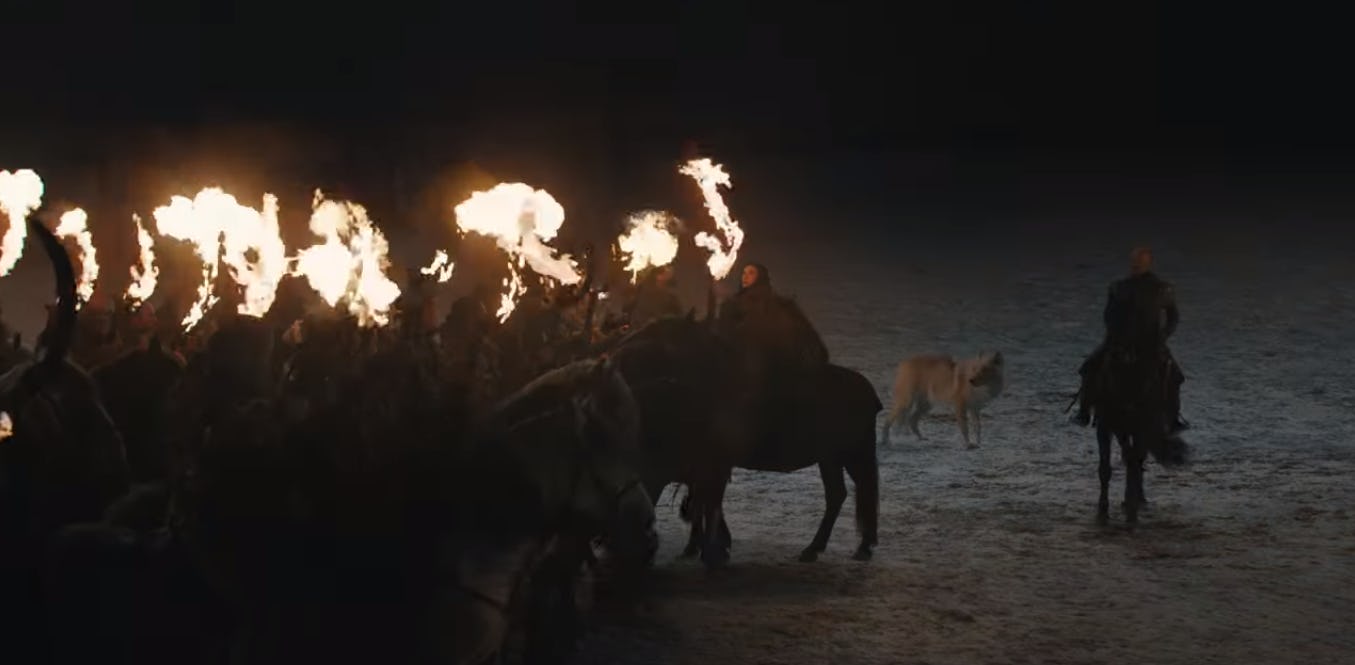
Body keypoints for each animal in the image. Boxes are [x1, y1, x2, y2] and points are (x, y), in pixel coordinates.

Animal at [606, 314, 882, 568]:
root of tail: (867, 391)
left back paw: (850, 546)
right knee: (841, 493)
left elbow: (708, 501)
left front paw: (712, 548)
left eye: (652, 335)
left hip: (848, 454)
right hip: (833, 457)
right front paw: (704, 546)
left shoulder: (712, 462)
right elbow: (703, 501)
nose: (616, 352)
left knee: (857, 489)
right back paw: (826, 547)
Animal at [1083, 346, 1191, 525]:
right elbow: (1106, 468)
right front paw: (1103, 507)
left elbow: (1135, 460)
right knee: (1130, 455)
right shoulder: (1106, 426)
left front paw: (1131, 503)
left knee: (1137, 458)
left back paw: (1138, 497)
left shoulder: (1142, 428)